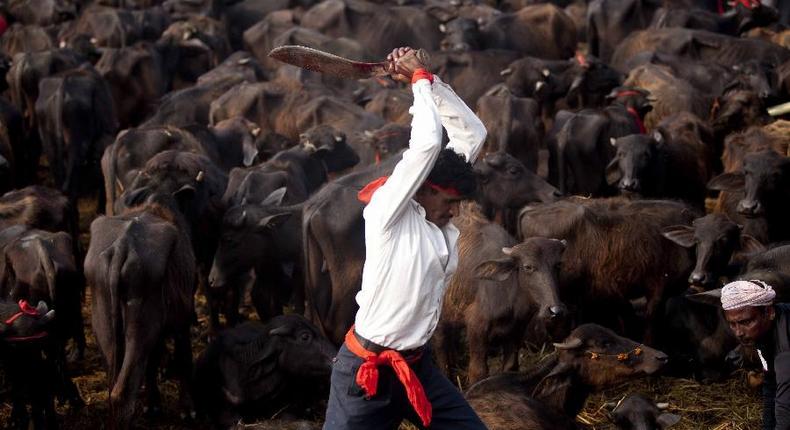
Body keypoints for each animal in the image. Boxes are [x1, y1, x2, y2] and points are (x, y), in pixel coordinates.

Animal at [84, 203, 196, 428]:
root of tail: (121, 246)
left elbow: (152, 362)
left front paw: (153, 404)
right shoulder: (182, 319)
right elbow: (184, 358)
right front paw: (187, 410)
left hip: (104, 324)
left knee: (114, 384)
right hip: (140, 327)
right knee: (122, 392)